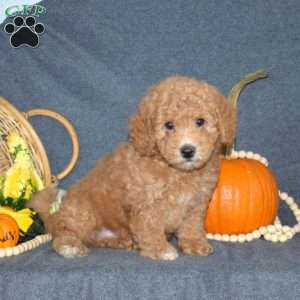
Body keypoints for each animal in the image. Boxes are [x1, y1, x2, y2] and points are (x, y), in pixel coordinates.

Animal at [28, 75, 236, 260]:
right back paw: (70, 246)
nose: (187, 150)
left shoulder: (197, 203)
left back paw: (122, 242)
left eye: (200, 121)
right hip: (82, 212)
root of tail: (55, 216)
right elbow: (151, 227)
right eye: (169, 125)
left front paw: (195, 244)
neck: (177, 171)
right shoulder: (146, 203)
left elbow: (191, 226)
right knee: (64, 231)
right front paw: (160, 249)